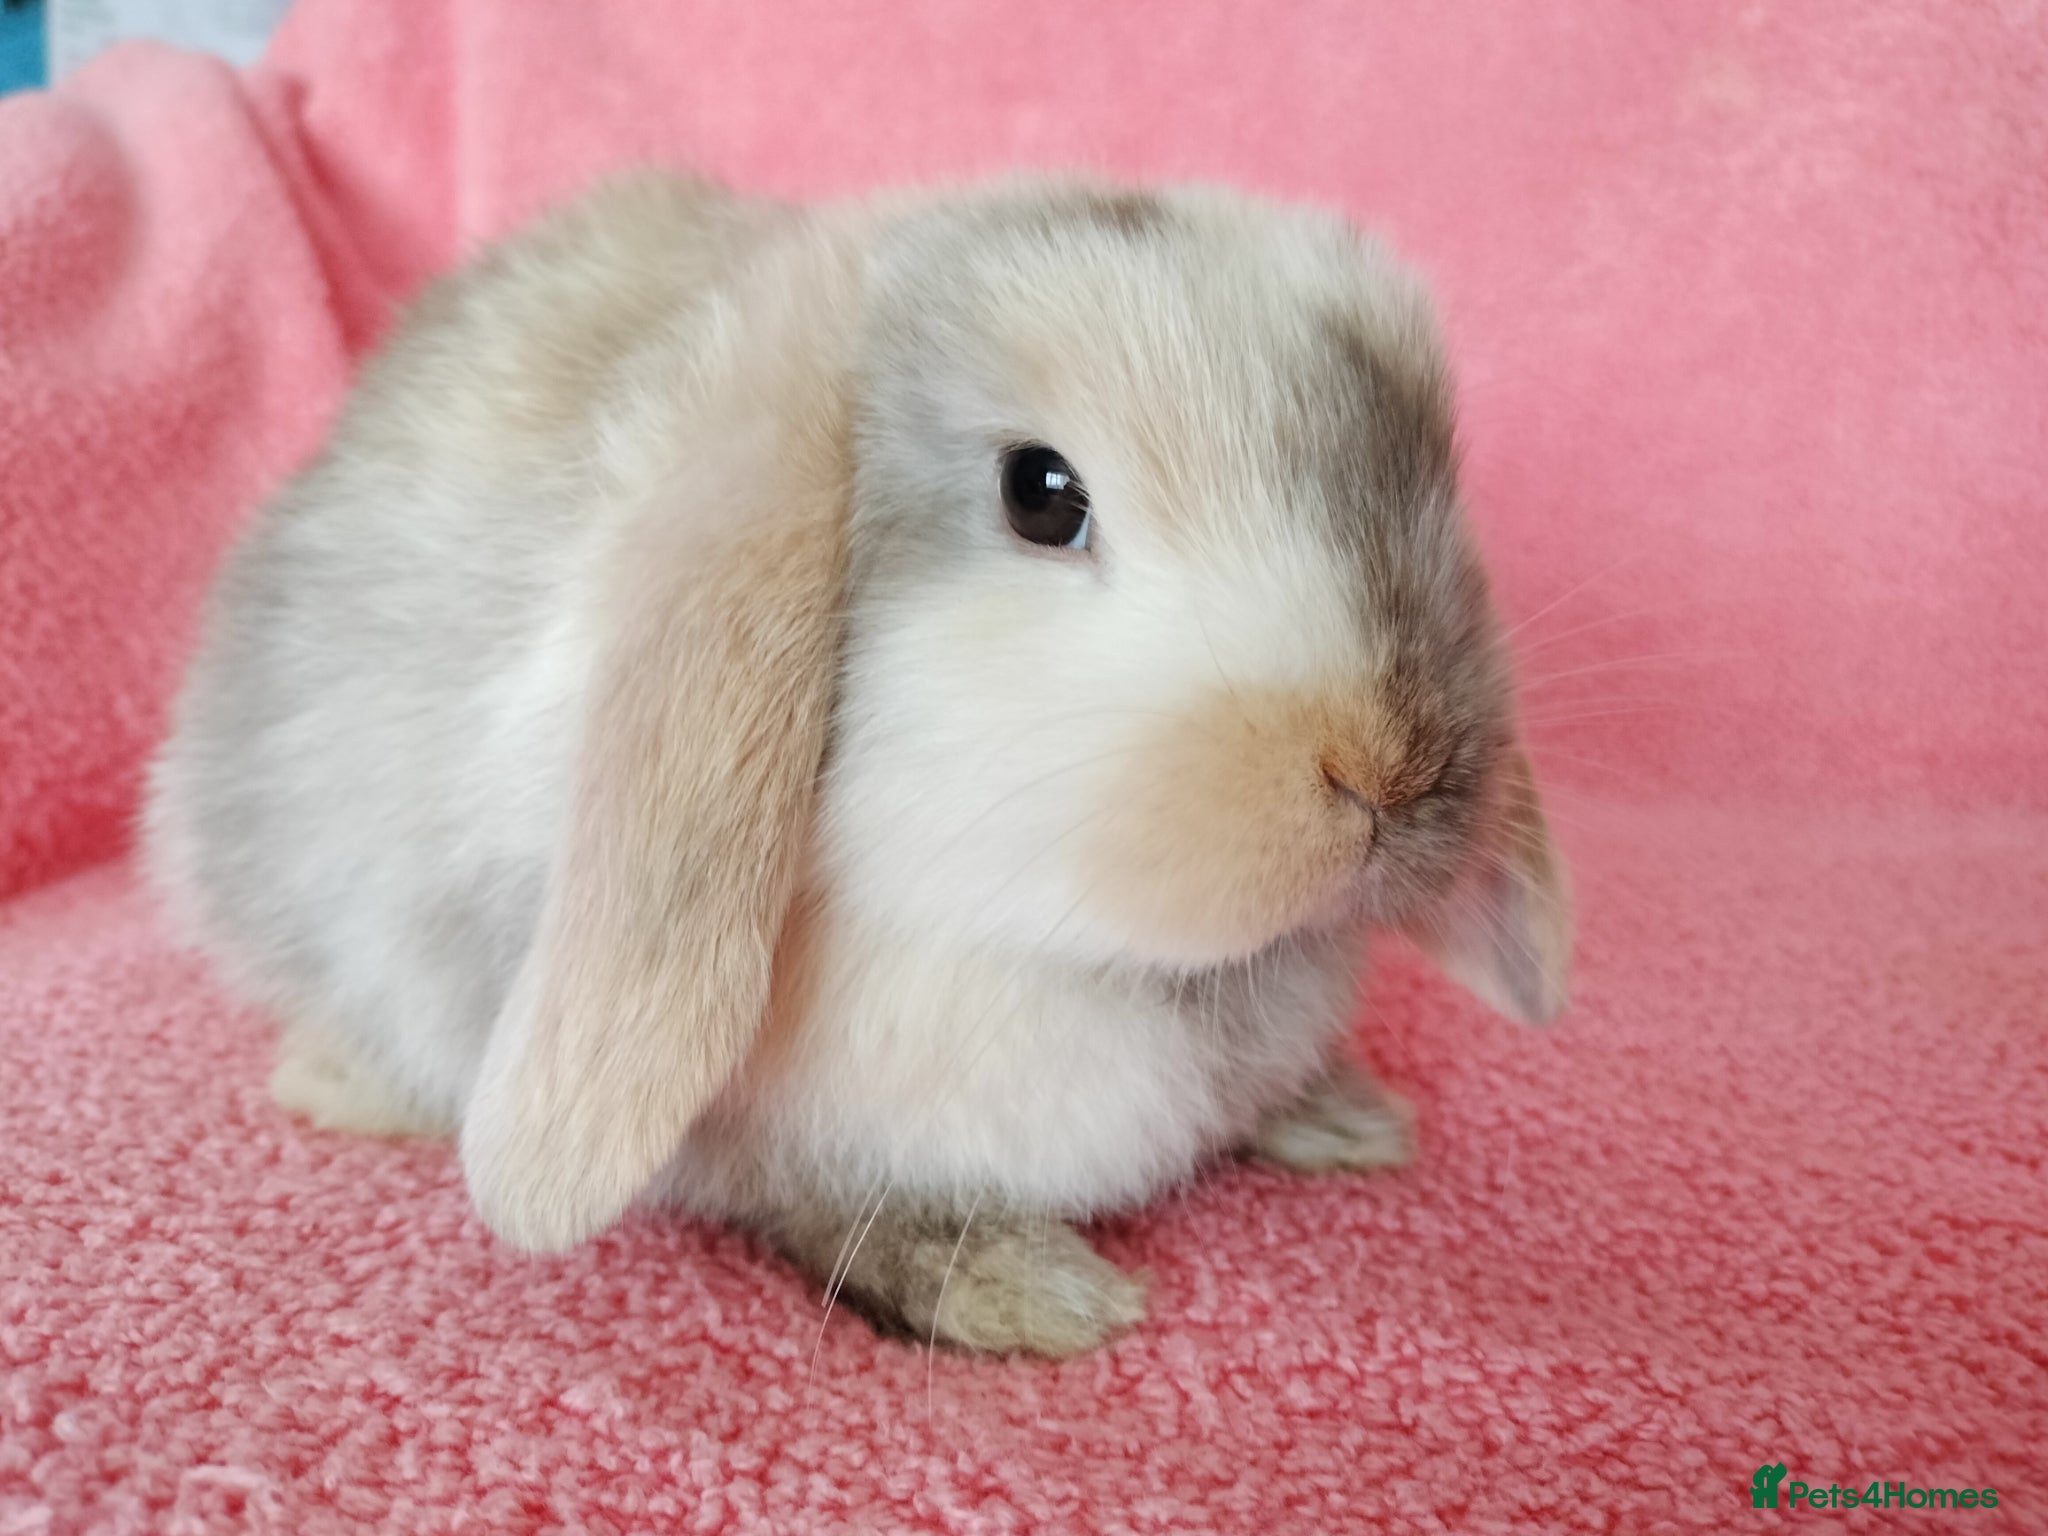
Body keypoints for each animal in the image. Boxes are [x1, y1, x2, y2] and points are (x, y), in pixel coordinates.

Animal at [145, 168, 1572, 1357]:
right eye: (1039, 494)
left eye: (1416, 464)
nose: (1391, 771)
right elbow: (832, 1213)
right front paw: (1030, 1295)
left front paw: (1340, 1118)